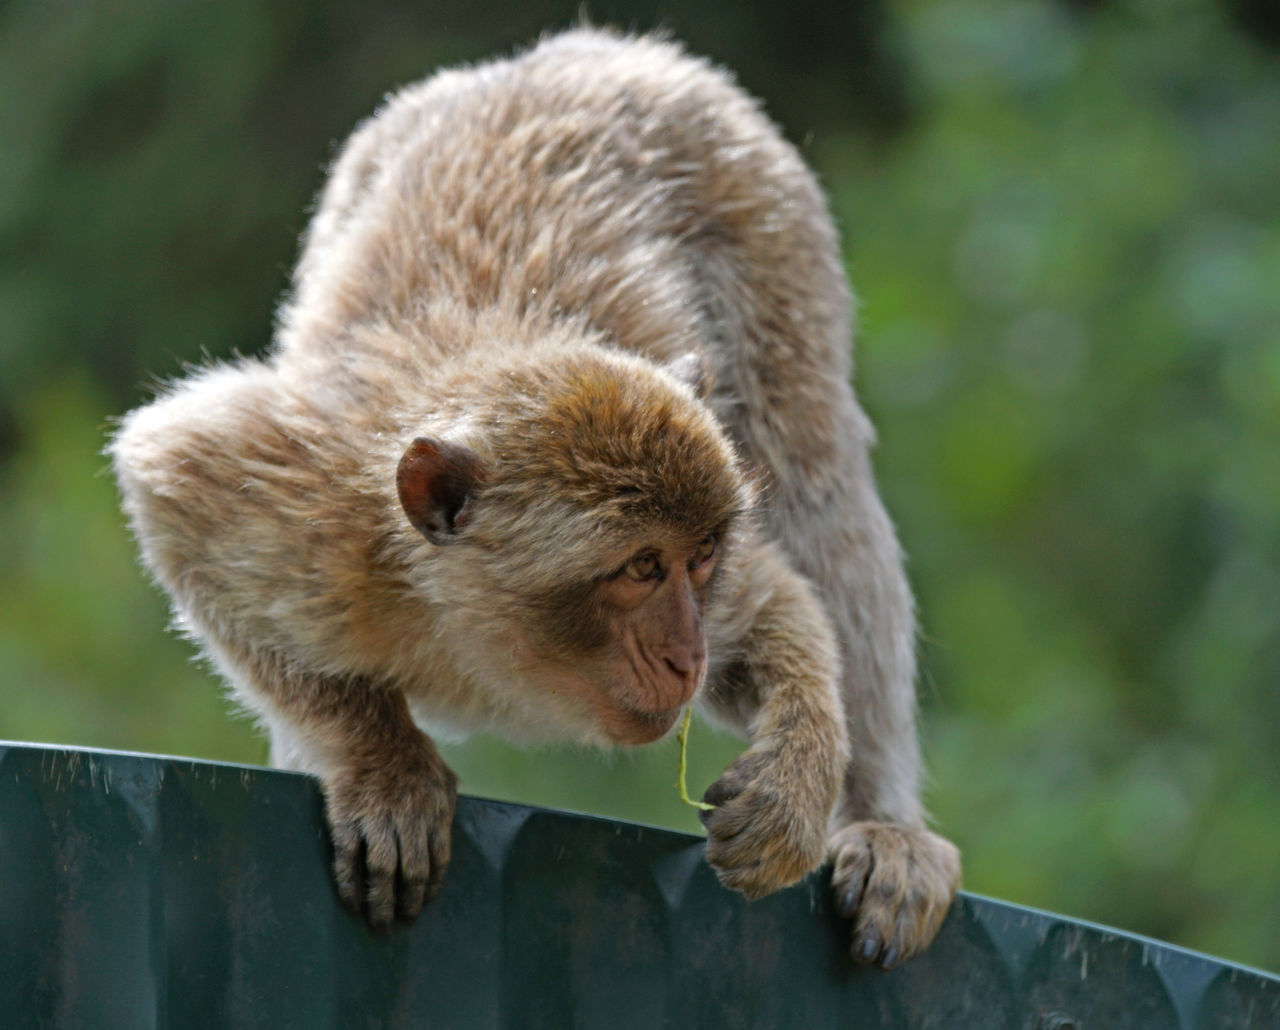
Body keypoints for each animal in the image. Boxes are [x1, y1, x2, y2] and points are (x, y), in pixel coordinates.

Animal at [110, 28, 957, 967]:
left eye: (697, 559)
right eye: (639, 568)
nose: (685, 656)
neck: (467, 625)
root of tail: (580, 49)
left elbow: (781, 597)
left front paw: (798, 779)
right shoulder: (307, 510)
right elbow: (168, 477)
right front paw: (383, 761)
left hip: (767, 222)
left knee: (820, 491)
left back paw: (885, 824)